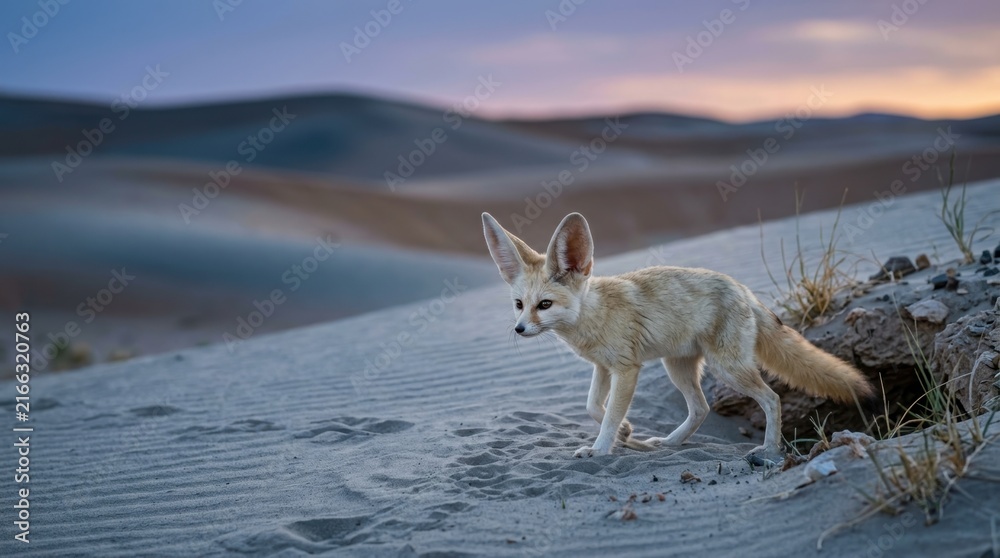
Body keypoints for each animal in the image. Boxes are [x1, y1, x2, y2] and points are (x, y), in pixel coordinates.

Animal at [481, 211, 872, 460]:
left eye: (544, 305)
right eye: (519, 305)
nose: (519, 329)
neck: (593, 314)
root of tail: (743, 289)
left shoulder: (627, 369)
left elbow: (606, 415)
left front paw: (601, 448)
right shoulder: (603, 368)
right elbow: (593, 407)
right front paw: (626, 432)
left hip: (726, 369)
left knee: (772, 398)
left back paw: (770, 450)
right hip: (678, 367)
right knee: (701, 409)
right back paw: (669, 444)